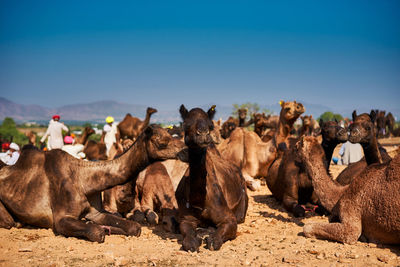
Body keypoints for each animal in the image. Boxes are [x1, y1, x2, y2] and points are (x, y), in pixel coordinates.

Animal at [0, 125, 186, 243]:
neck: (84, 180)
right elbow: (97, 232)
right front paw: (98, 228)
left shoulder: (96, 212)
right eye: (162, 142)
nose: (185, 150)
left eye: (171, 136)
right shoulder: (60, 219)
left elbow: (134, 227)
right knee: (9, 222)